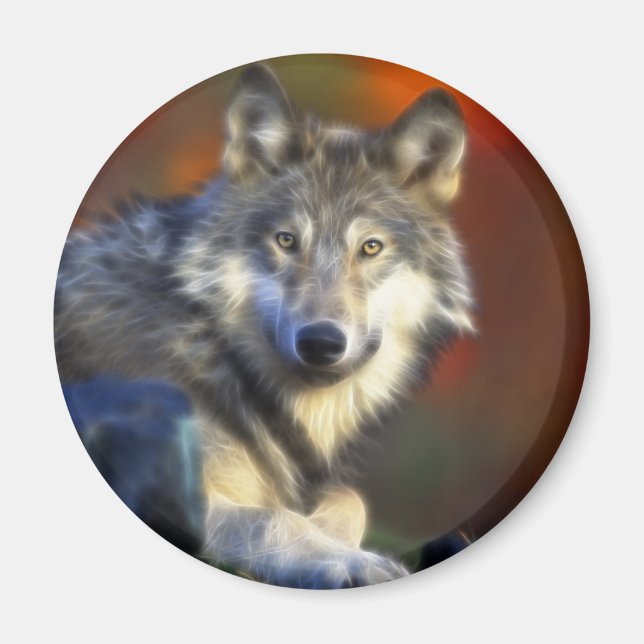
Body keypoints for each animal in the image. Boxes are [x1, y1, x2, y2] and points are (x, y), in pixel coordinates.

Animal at [55, 64, 473, 589]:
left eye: (371, 247)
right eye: (286, 240)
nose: (321, 343)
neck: (213, 350)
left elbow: (348, 499)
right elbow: (275, 518)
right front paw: (350, 560)